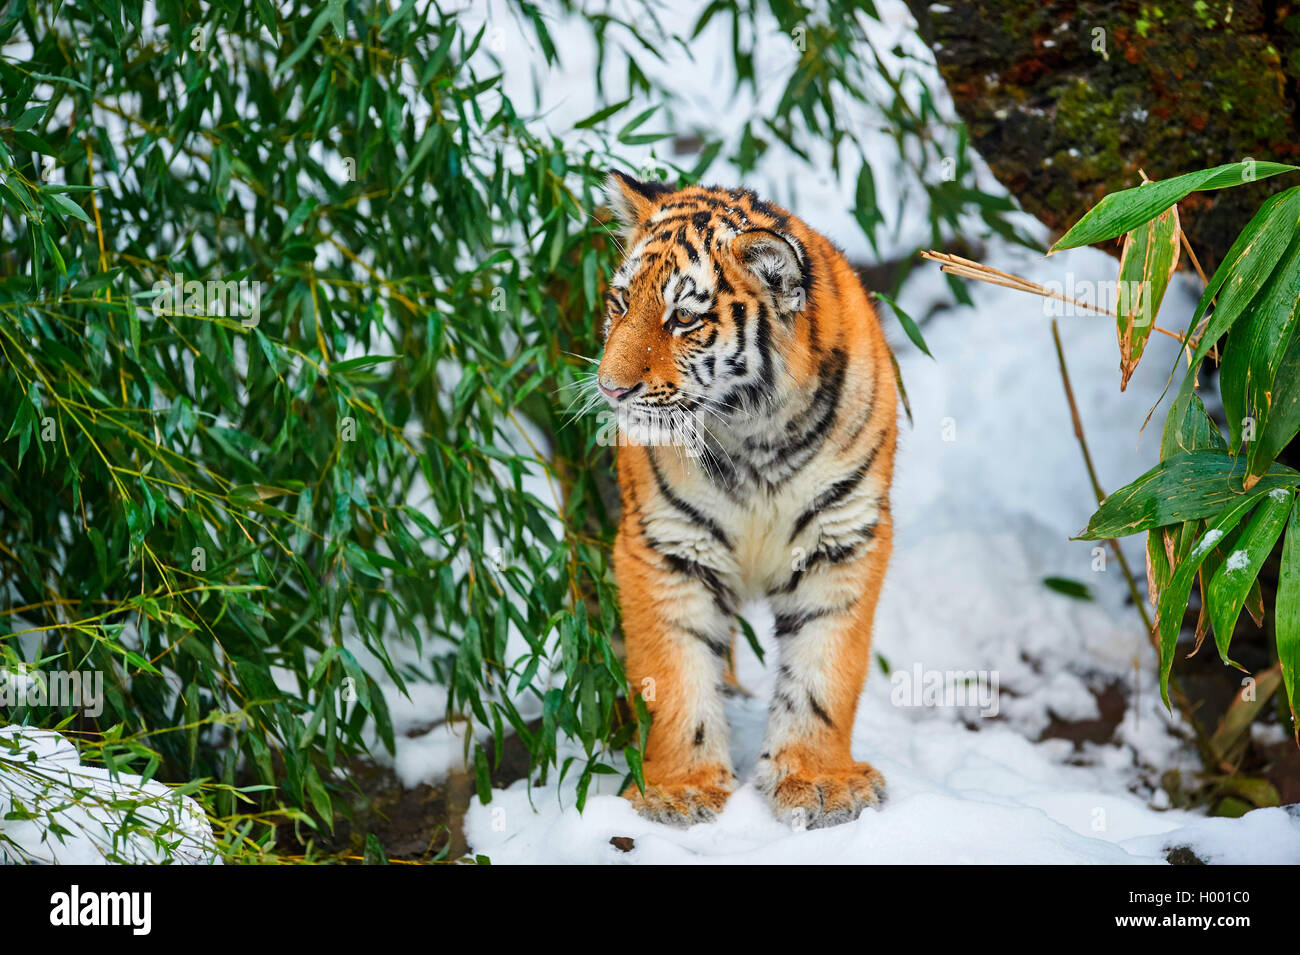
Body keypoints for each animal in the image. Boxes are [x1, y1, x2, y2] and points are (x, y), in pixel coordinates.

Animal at [595, 171, 894, 831]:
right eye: (621, 303)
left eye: (684, 317)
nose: (609, 388)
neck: (755, 436)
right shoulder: (665, 545)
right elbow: (674, 674)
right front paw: (677, 789)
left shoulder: (843, 538)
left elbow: (825, 671)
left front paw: (820, 781)